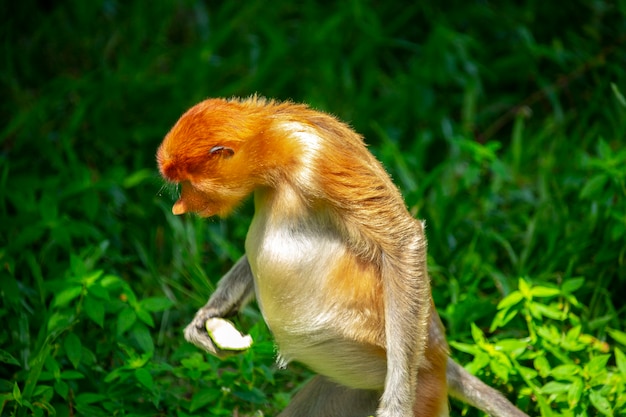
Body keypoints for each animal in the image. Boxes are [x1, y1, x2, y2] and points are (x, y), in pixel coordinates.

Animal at [156, 96, 528, 414]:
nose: (178, 208)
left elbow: (403, 240)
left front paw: (396, 406)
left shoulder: (318, 157)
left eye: (188, 183)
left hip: (423, 385)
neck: (275, 139)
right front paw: (206, 318)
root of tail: (439, 359)